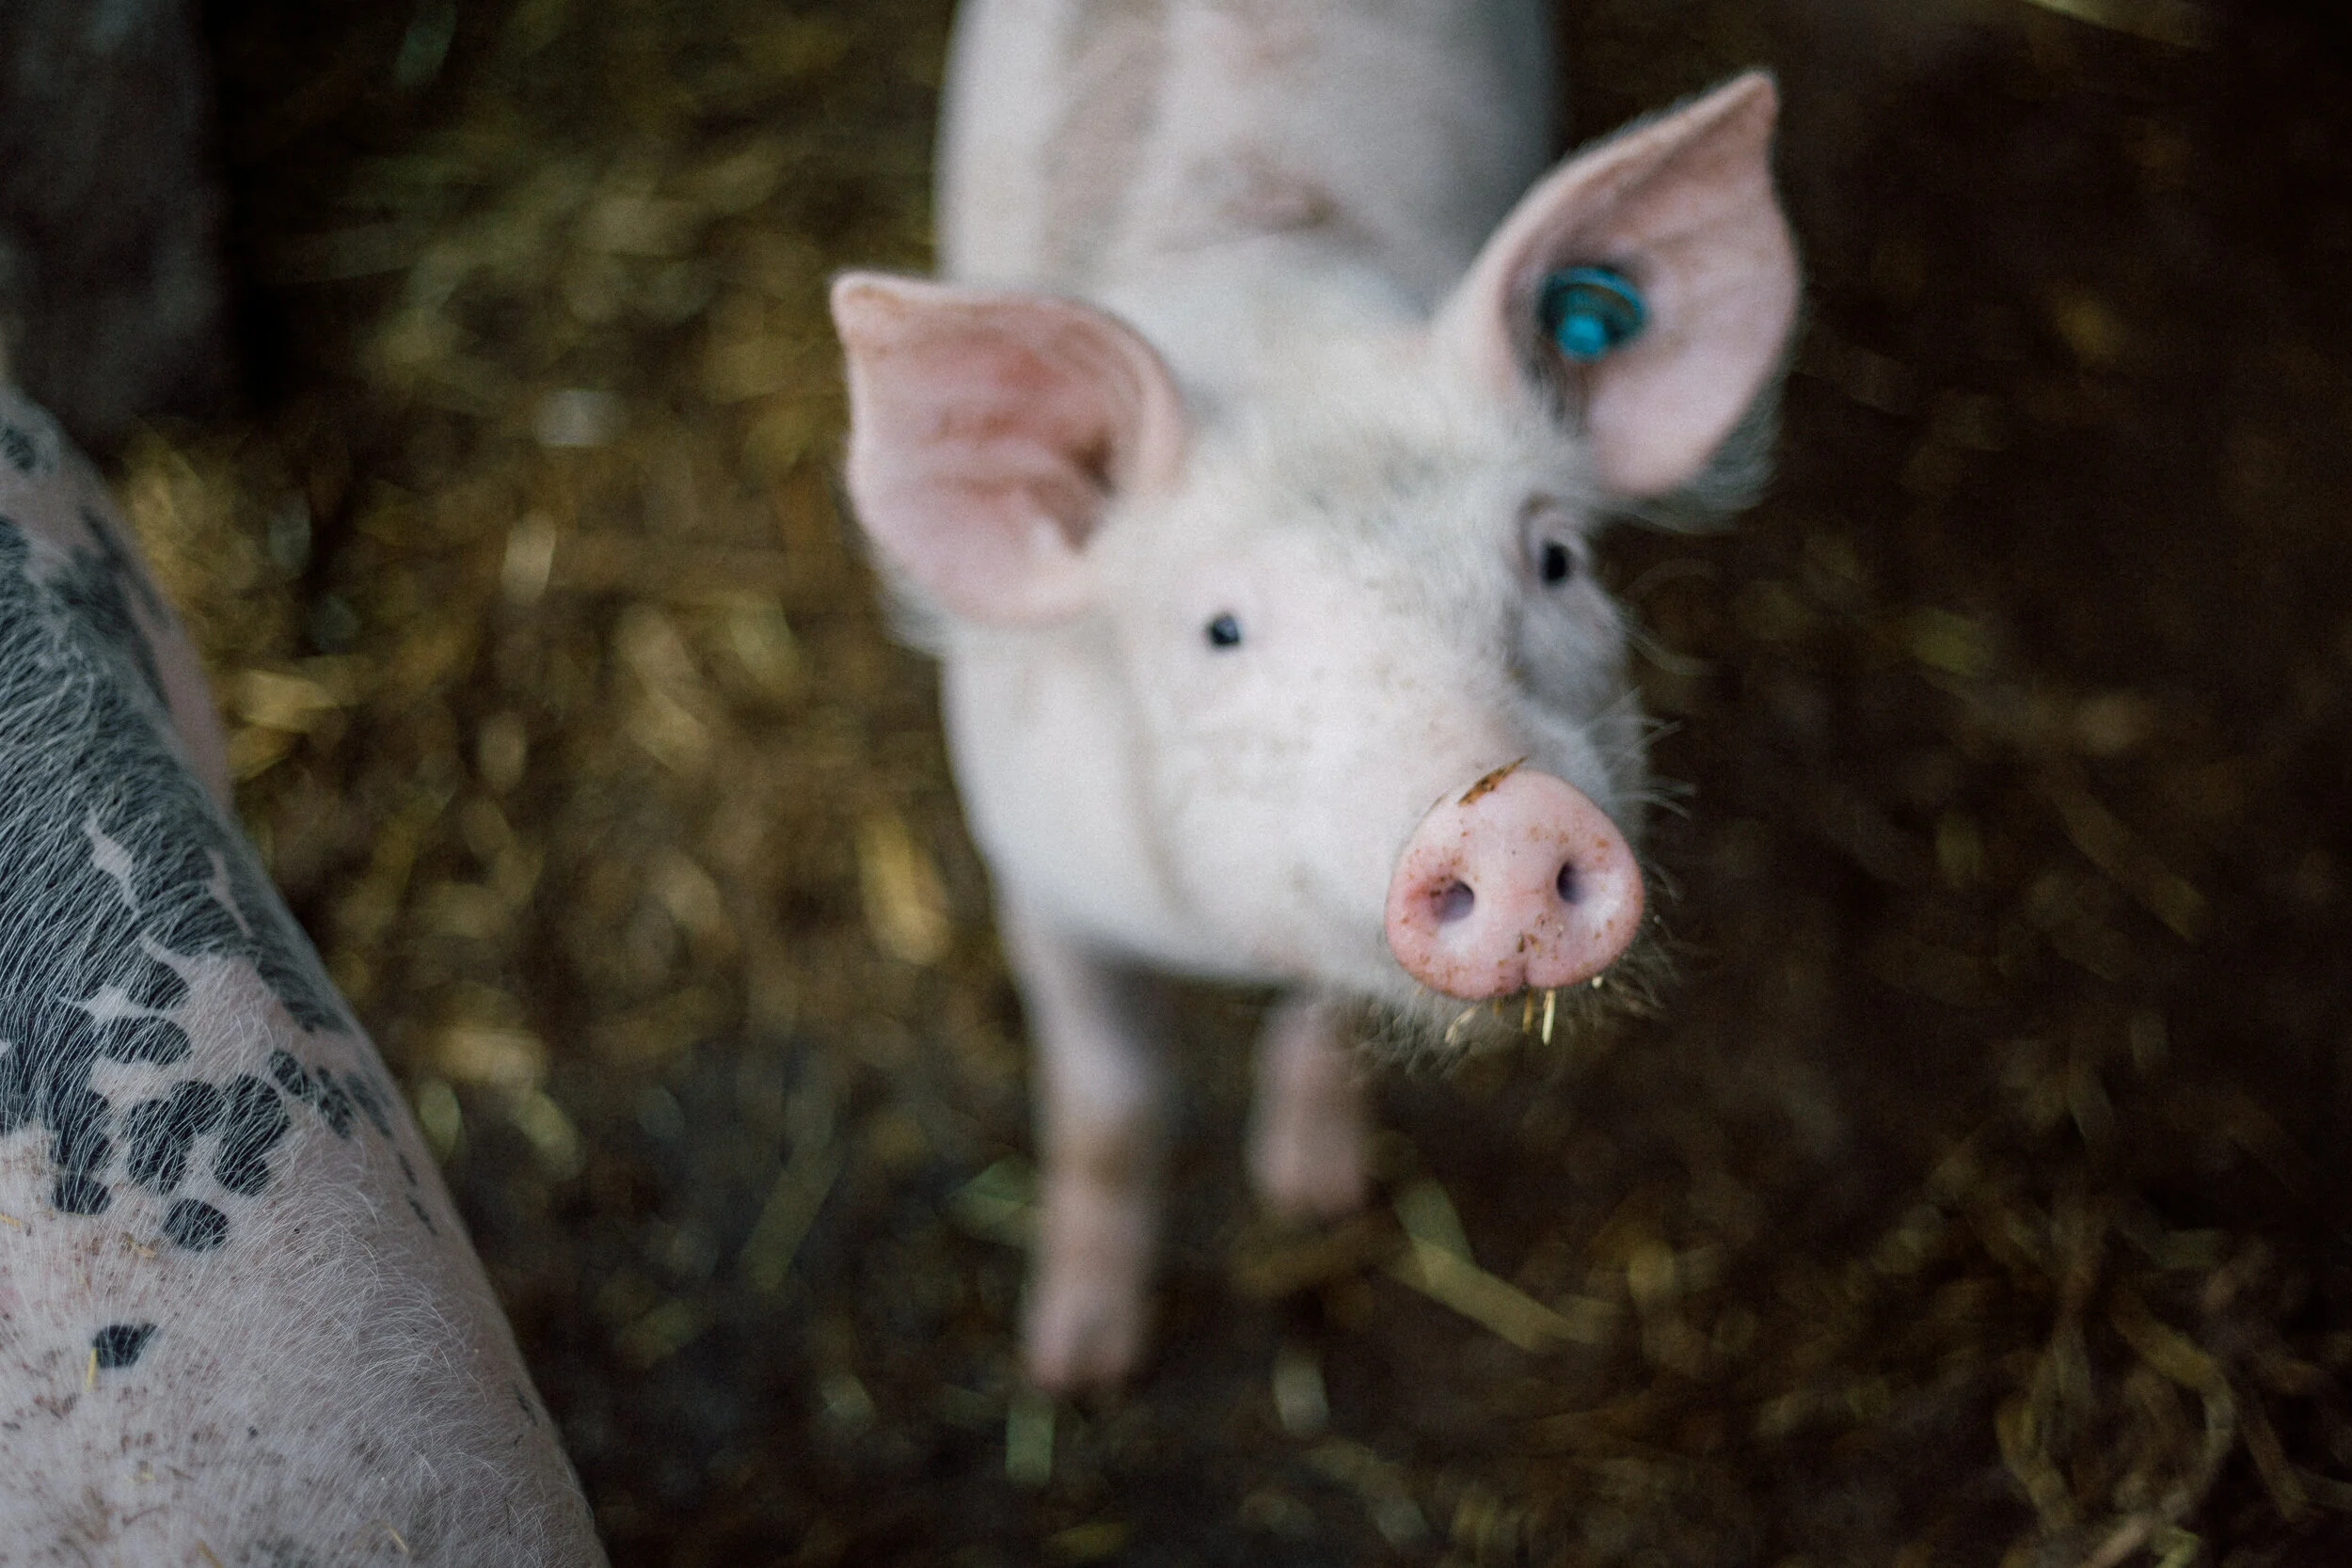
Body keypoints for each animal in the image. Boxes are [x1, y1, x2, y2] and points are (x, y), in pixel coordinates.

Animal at [830, 0, 1799, 1390]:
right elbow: (1108, 1101)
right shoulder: (1033, 870)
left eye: (1556, 559)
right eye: (1220, 628)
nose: (1511, 814)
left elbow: (1327, 1020)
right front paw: (1075, 1361)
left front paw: (1311, 1195)